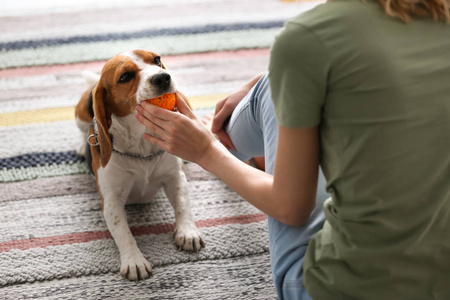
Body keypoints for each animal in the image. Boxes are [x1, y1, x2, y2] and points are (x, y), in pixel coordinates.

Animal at [75, 49, 204, 282]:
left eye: (157, 60)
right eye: (125, 76)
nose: (163, 77)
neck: (141, 144)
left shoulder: (175, 177)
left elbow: (183, 204)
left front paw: (187, 232)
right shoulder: (111, 200)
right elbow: (122, 230)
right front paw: (133, 260)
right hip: (80, 114)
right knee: (82, 131)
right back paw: (82, 146)